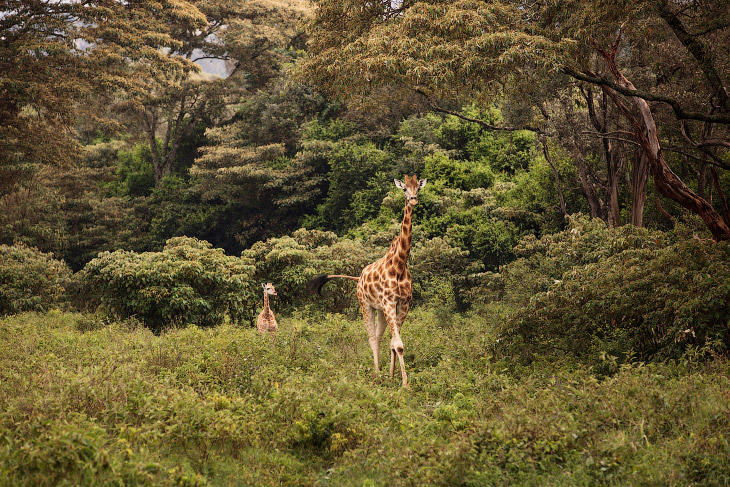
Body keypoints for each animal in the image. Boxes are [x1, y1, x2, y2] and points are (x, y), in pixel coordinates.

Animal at [304, 175, 424, 388]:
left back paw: (384, 374)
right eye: (404, 189)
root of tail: (359, 278)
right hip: (365, 304)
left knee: (380, 337)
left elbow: (395, 343)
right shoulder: (389, 302)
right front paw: (405, 384)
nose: (413, 200)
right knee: (372, 338)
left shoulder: (403, 304)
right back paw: (376, 374)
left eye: (418, 187)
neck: (400, 265)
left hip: (381, 310)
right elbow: (398, 344)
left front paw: (394, 378)